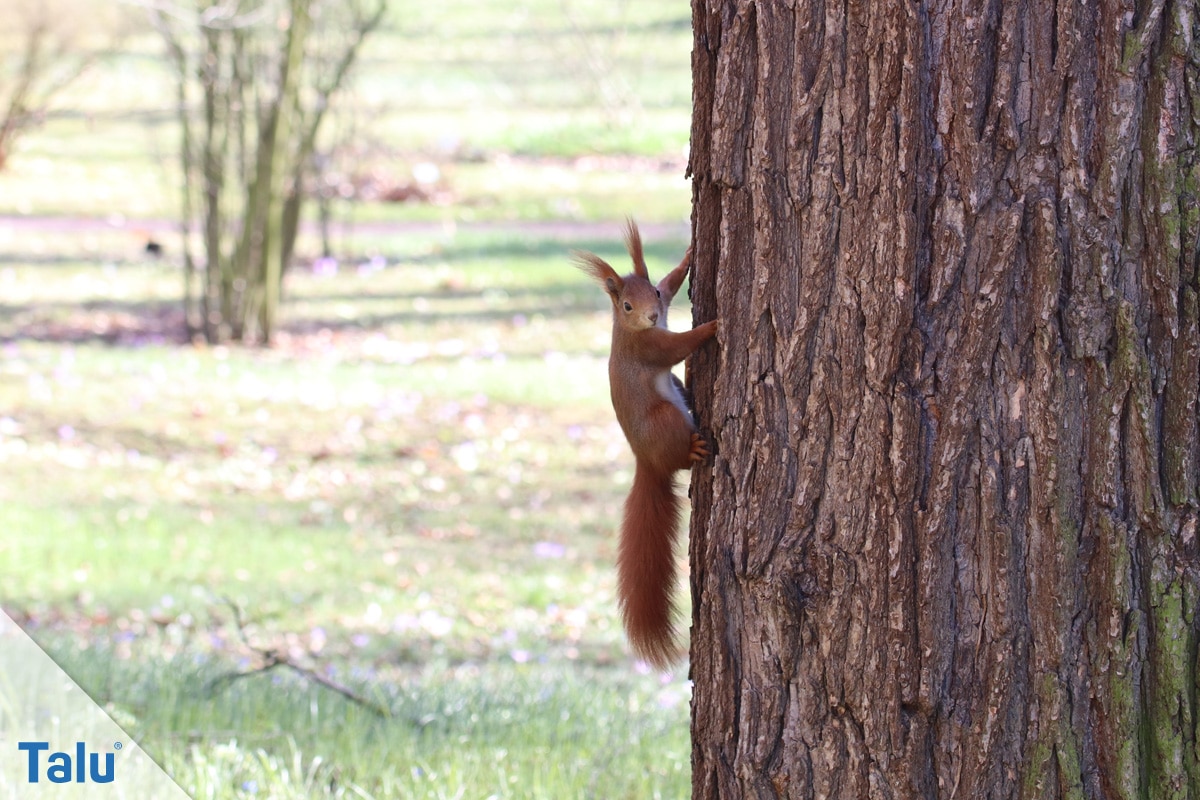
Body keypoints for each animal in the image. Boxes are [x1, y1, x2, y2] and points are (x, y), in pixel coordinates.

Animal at [573, 219, 715, 671]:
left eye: (651, 293)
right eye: (625, 307)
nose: (652, 316)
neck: (630, 330)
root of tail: (646, 462)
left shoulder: (667, 302)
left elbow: (674, 281)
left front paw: (687, 257)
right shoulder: (649, 347)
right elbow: (677, 345)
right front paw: (711, 328)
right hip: (666, 418)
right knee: (682, 459)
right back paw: (693, 452)